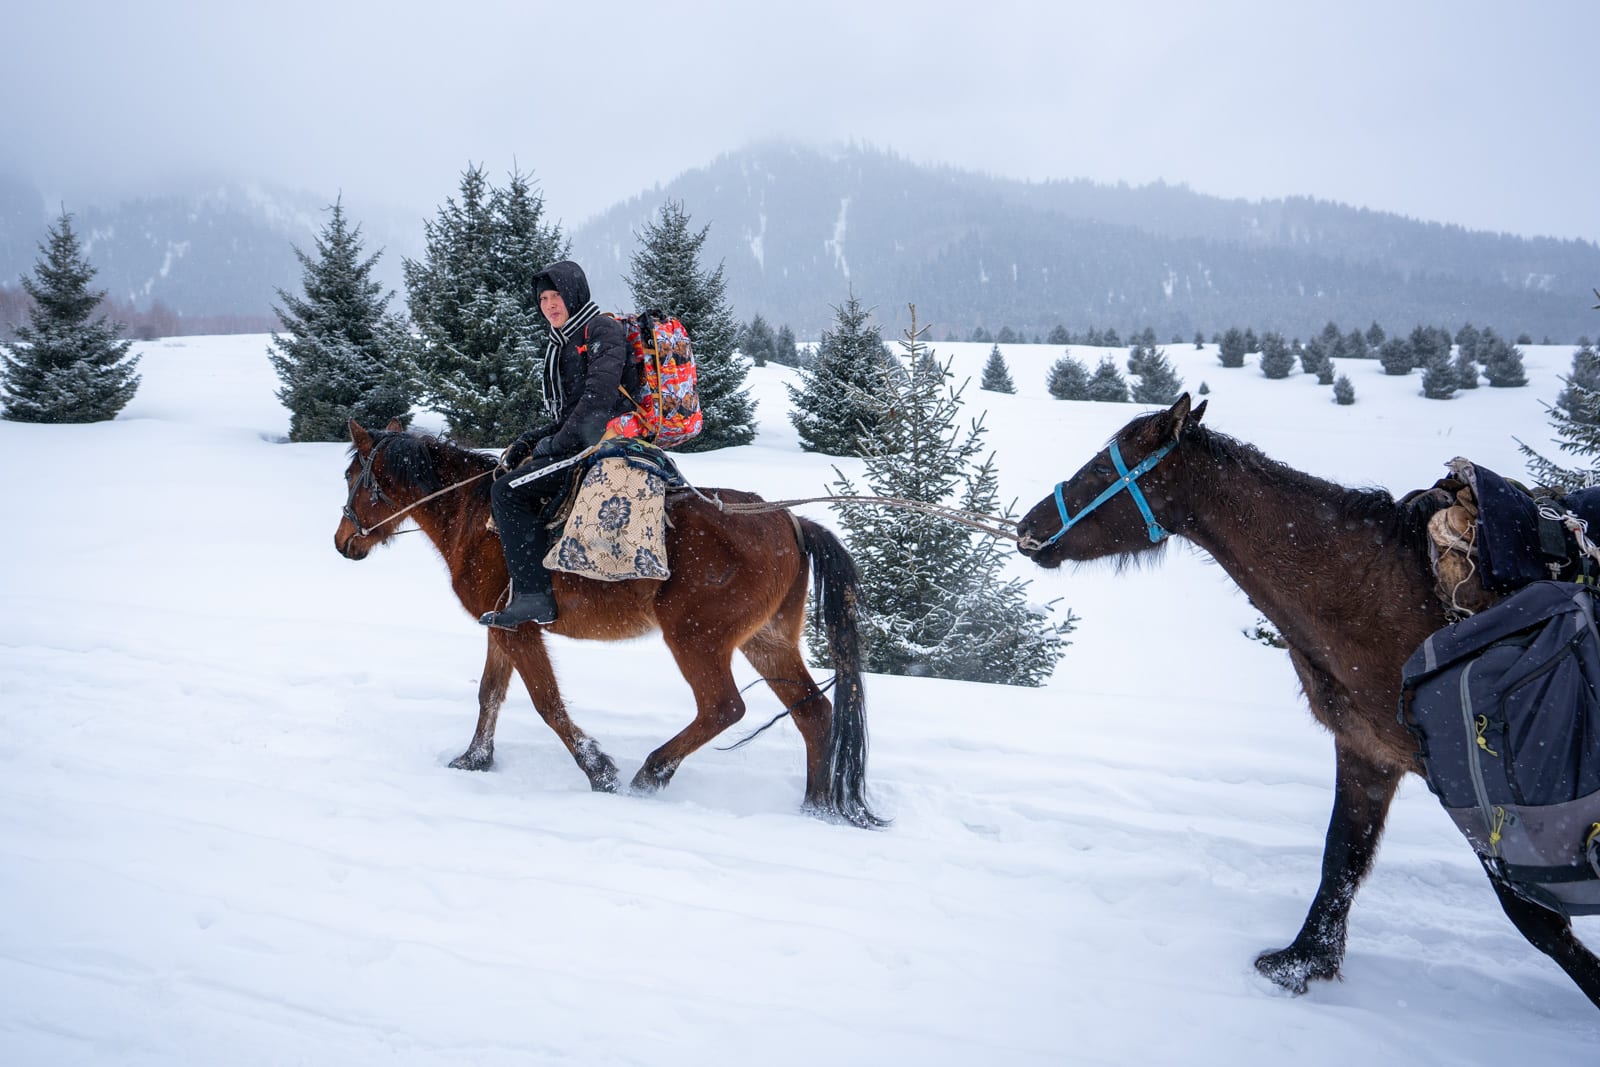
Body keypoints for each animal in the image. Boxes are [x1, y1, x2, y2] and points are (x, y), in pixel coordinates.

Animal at [332, 415, 883, 825]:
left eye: (352, 477)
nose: (342, 541)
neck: (476, 517)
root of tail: (790, 519)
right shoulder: (501, 625)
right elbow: (490, 693)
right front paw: (474, 760)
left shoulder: (520, 628)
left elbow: (547, 703)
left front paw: (598, 771)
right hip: (767, 642)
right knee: (815, 714)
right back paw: (816, 808)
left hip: (697, 639)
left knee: (724, 708)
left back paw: (652, 773)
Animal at [1017, 398, 1593, 1011]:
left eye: (1103, 469)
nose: (1028, 529)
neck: (1381, 592)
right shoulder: (1368, 753)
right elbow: (1341, 857)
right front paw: (1303, 962)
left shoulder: (1472, 783)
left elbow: (1536, 919)